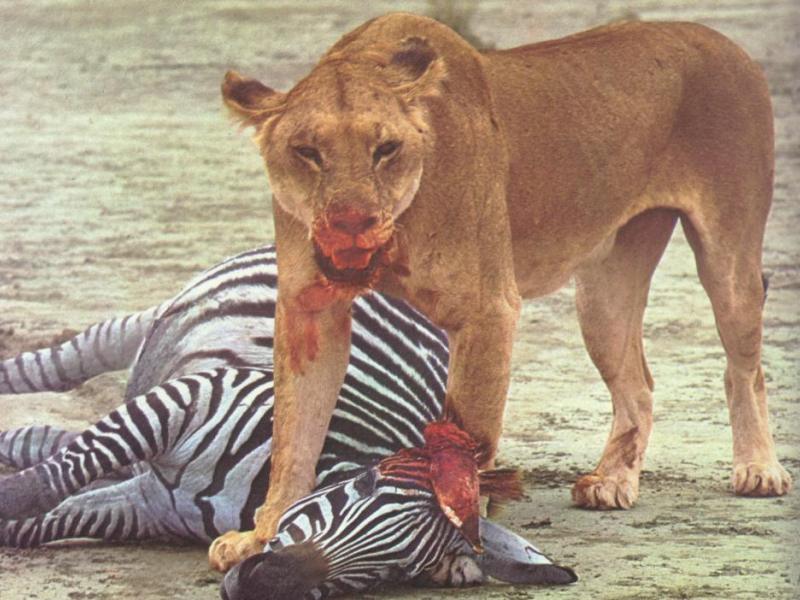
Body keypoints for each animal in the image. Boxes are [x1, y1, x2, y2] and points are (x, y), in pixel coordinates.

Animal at [0, 244, 576, 594]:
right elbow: (55, 477)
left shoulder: (146, 506)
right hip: (155, 323)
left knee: (45, 439)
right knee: (56, 371)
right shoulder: (197, 395)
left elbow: (44, 520)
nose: (262, 582)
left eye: (394, 571)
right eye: (362, 485)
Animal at [208, 13, 792, 570]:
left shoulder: (488, 310)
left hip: (730, 259)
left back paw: (759, 469)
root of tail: (723, 41)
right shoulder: (309, 308)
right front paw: (264, 535)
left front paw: (452, 542)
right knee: (639, 386)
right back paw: (612, 482)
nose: (352, 223)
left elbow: (467, 440)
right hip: (603, 295)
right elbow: (293, 434)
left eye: (386, 149)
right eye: (307, 151)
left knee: (746, 369)